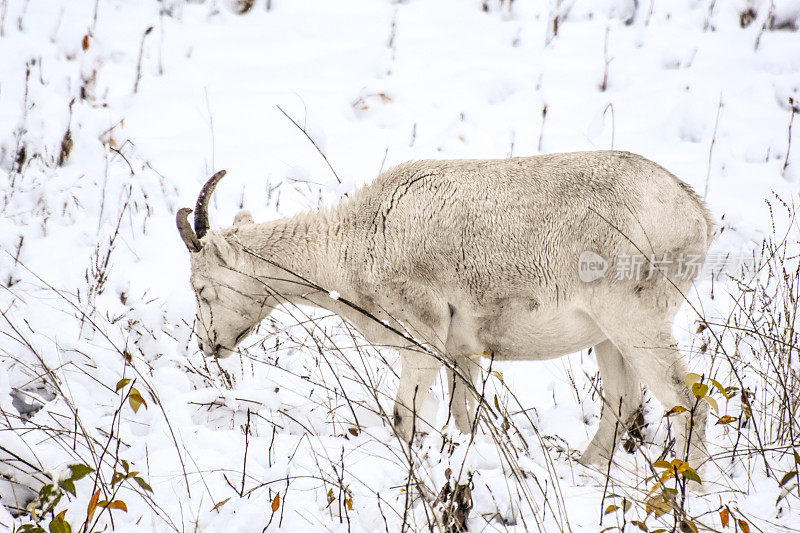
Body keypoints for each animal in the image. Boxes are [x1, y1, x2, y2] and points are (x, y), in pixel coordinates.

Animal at [177, 151, 712, 466]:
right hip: (608, 338)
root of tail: (695, 212)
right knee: (622, 404)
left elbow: (403, 418)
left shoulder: (423, 342)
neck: (359, 241)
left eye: (201, 287)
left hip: (636, 324)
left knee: (686, 403)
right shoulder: (462, 353)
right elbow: (462, 417)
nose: (207, 344)